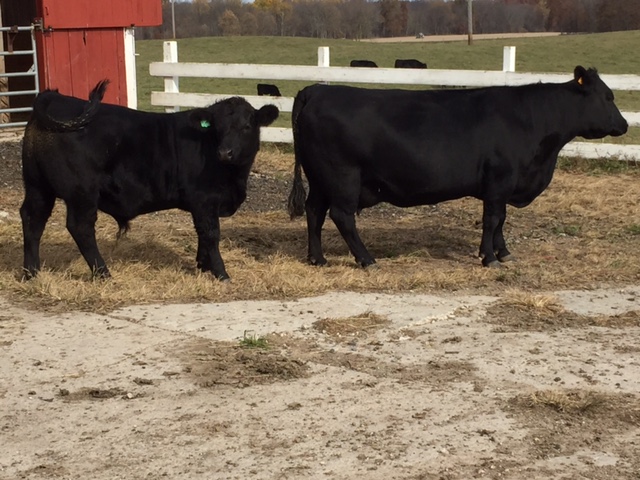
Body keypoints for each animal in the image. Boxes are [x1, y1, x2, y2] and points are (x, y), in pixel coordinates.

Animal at [21, 81, 279, 281]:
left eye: (247, 126)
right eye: (217, 128)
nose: (225, 152)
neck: (235, 177)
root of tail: (56, 97)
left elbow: (202, 236)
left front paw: (202, 266)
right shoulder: (204, 200)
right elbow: (210, 233)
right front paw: (220, 272)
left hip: (38, 187)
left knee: (33, 220)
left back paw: (31, 273)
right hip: (81, 192)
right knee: (80, 227)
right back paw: (103, 273)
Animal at [288, 66, 627, 269]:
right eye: (608, 96)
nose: (624, 125)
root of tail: (317, 90)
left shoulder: (502, 186)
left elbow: (501, 221)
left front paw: (503, 253)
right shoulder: (499, 181)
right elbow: (493, 219)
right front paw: (489, 258)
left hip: (321, 179)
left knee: (314, 212)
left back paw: (317, 258)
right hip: (342, 177)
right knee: (342, 216)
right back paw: (367, 259)